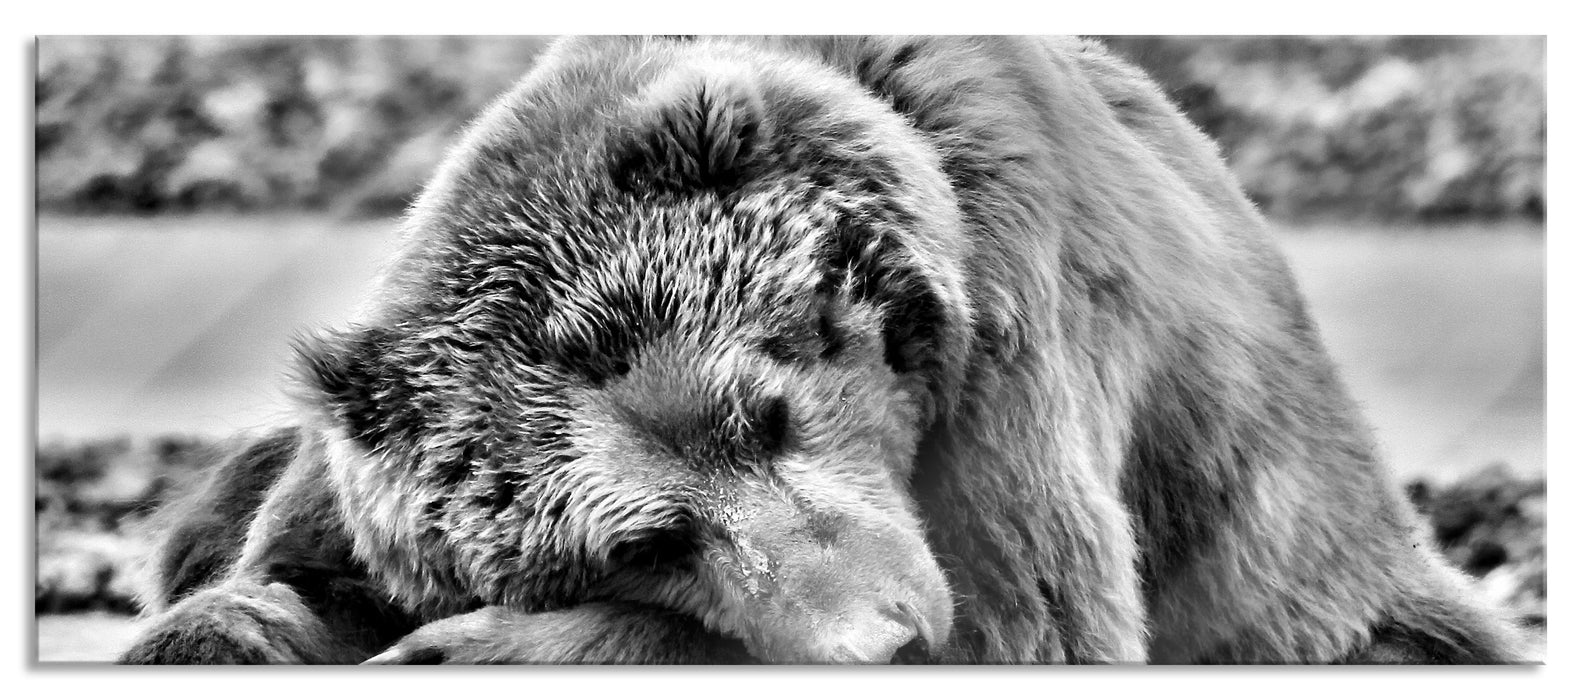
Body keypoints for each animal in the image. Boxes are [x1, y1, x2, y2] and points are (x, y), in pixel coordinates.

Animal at [117, 35, 1525, 665]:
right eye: (644, 540)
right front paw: (232, 629)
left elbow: (1025, 618)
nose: (887, 633)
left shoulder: (1017, 341)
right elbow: (274, 573)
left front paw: (469, 650)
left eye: (771, 406)